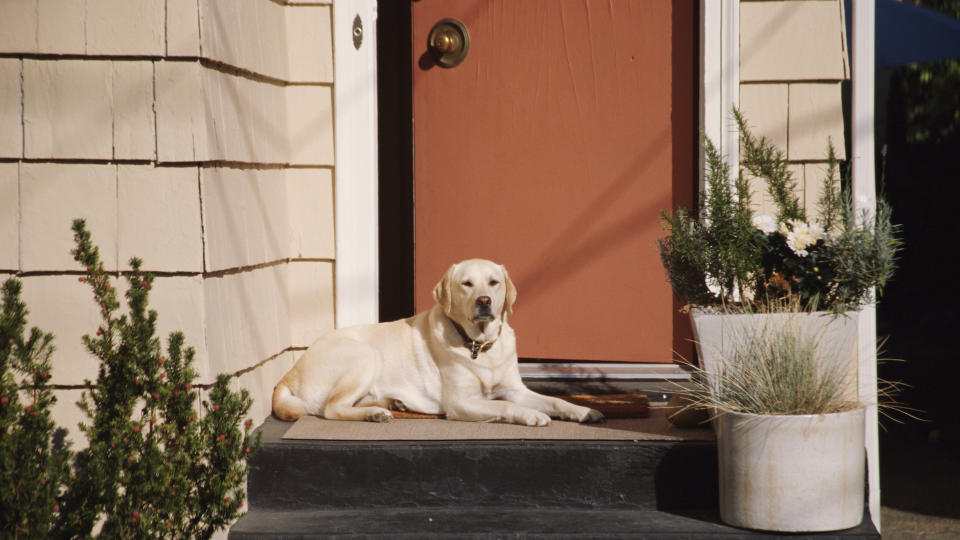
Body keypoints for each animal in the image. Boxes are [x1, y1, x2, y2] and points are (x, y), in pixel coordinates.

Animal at [272, 260, 600, 426]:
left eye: (493, 282)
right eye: (467, 284)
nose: (484, 301)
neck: (480, 346)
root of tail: (289, 373)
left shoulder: (515, 389)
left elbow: (554, 400)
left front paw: (582, 411)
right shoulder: (461, 402)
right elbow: (504, 406)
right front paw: (532, 415)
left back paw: (388, 404)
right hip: (365, 355)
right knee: (332, 408)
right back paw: (375, 413)